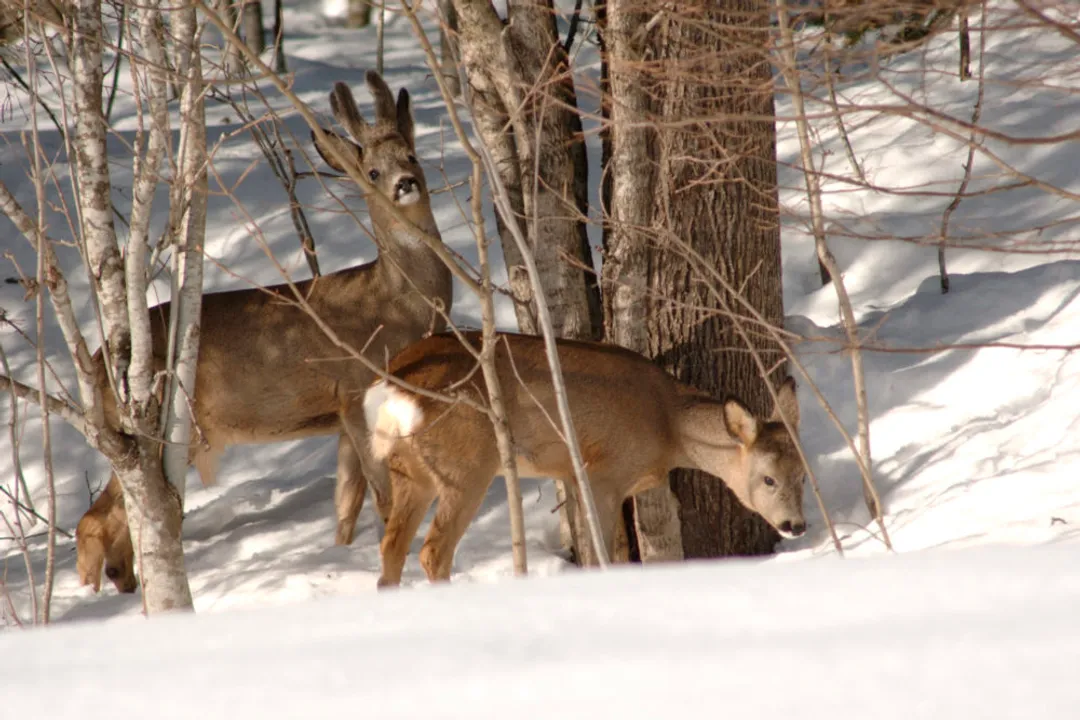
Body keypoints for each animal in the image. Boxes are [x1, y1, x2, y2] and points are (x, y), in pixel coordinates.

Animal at [75, 71, 453, 594]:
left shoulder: (340, 414)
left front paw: (340, 556)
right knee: (95, 520)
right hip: (167, 429)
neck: (396, 304)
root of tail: (98, 364)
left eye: (411, 154)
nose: (406, 184)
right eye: (372, 172)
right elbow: (382, 498)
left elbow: (346, 504)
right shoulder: (357, 388)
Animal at [363, 331, 807, 588]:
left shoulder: (577, 477)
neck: (667, 424)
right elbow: (601, 554)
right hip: (467, 462)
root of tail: (391, 388)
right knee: (432, 550)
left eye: (803, 476)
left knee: (391, 546)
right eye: (768, 478)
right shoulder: (602, 473)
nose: (796, 525)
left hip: (410, 469)